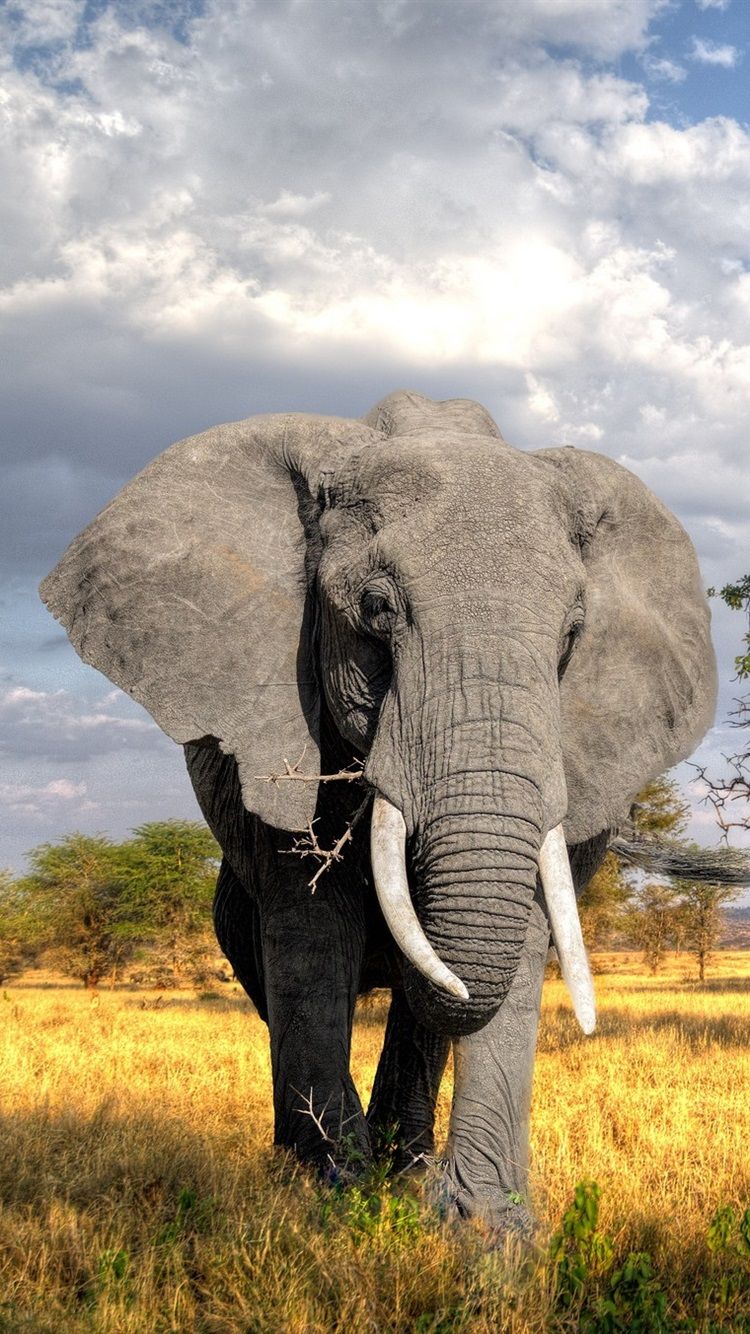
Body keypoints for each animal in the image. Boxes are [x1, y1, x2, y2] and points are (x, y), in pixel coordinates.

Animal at [40, 389, 716, 1233]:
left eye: (570, 634)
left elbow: (519, 932)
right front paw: (329, 1200)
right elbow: (311, 926)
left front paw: (487, 1233)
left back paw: (411, 1166)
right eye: (375, 609)